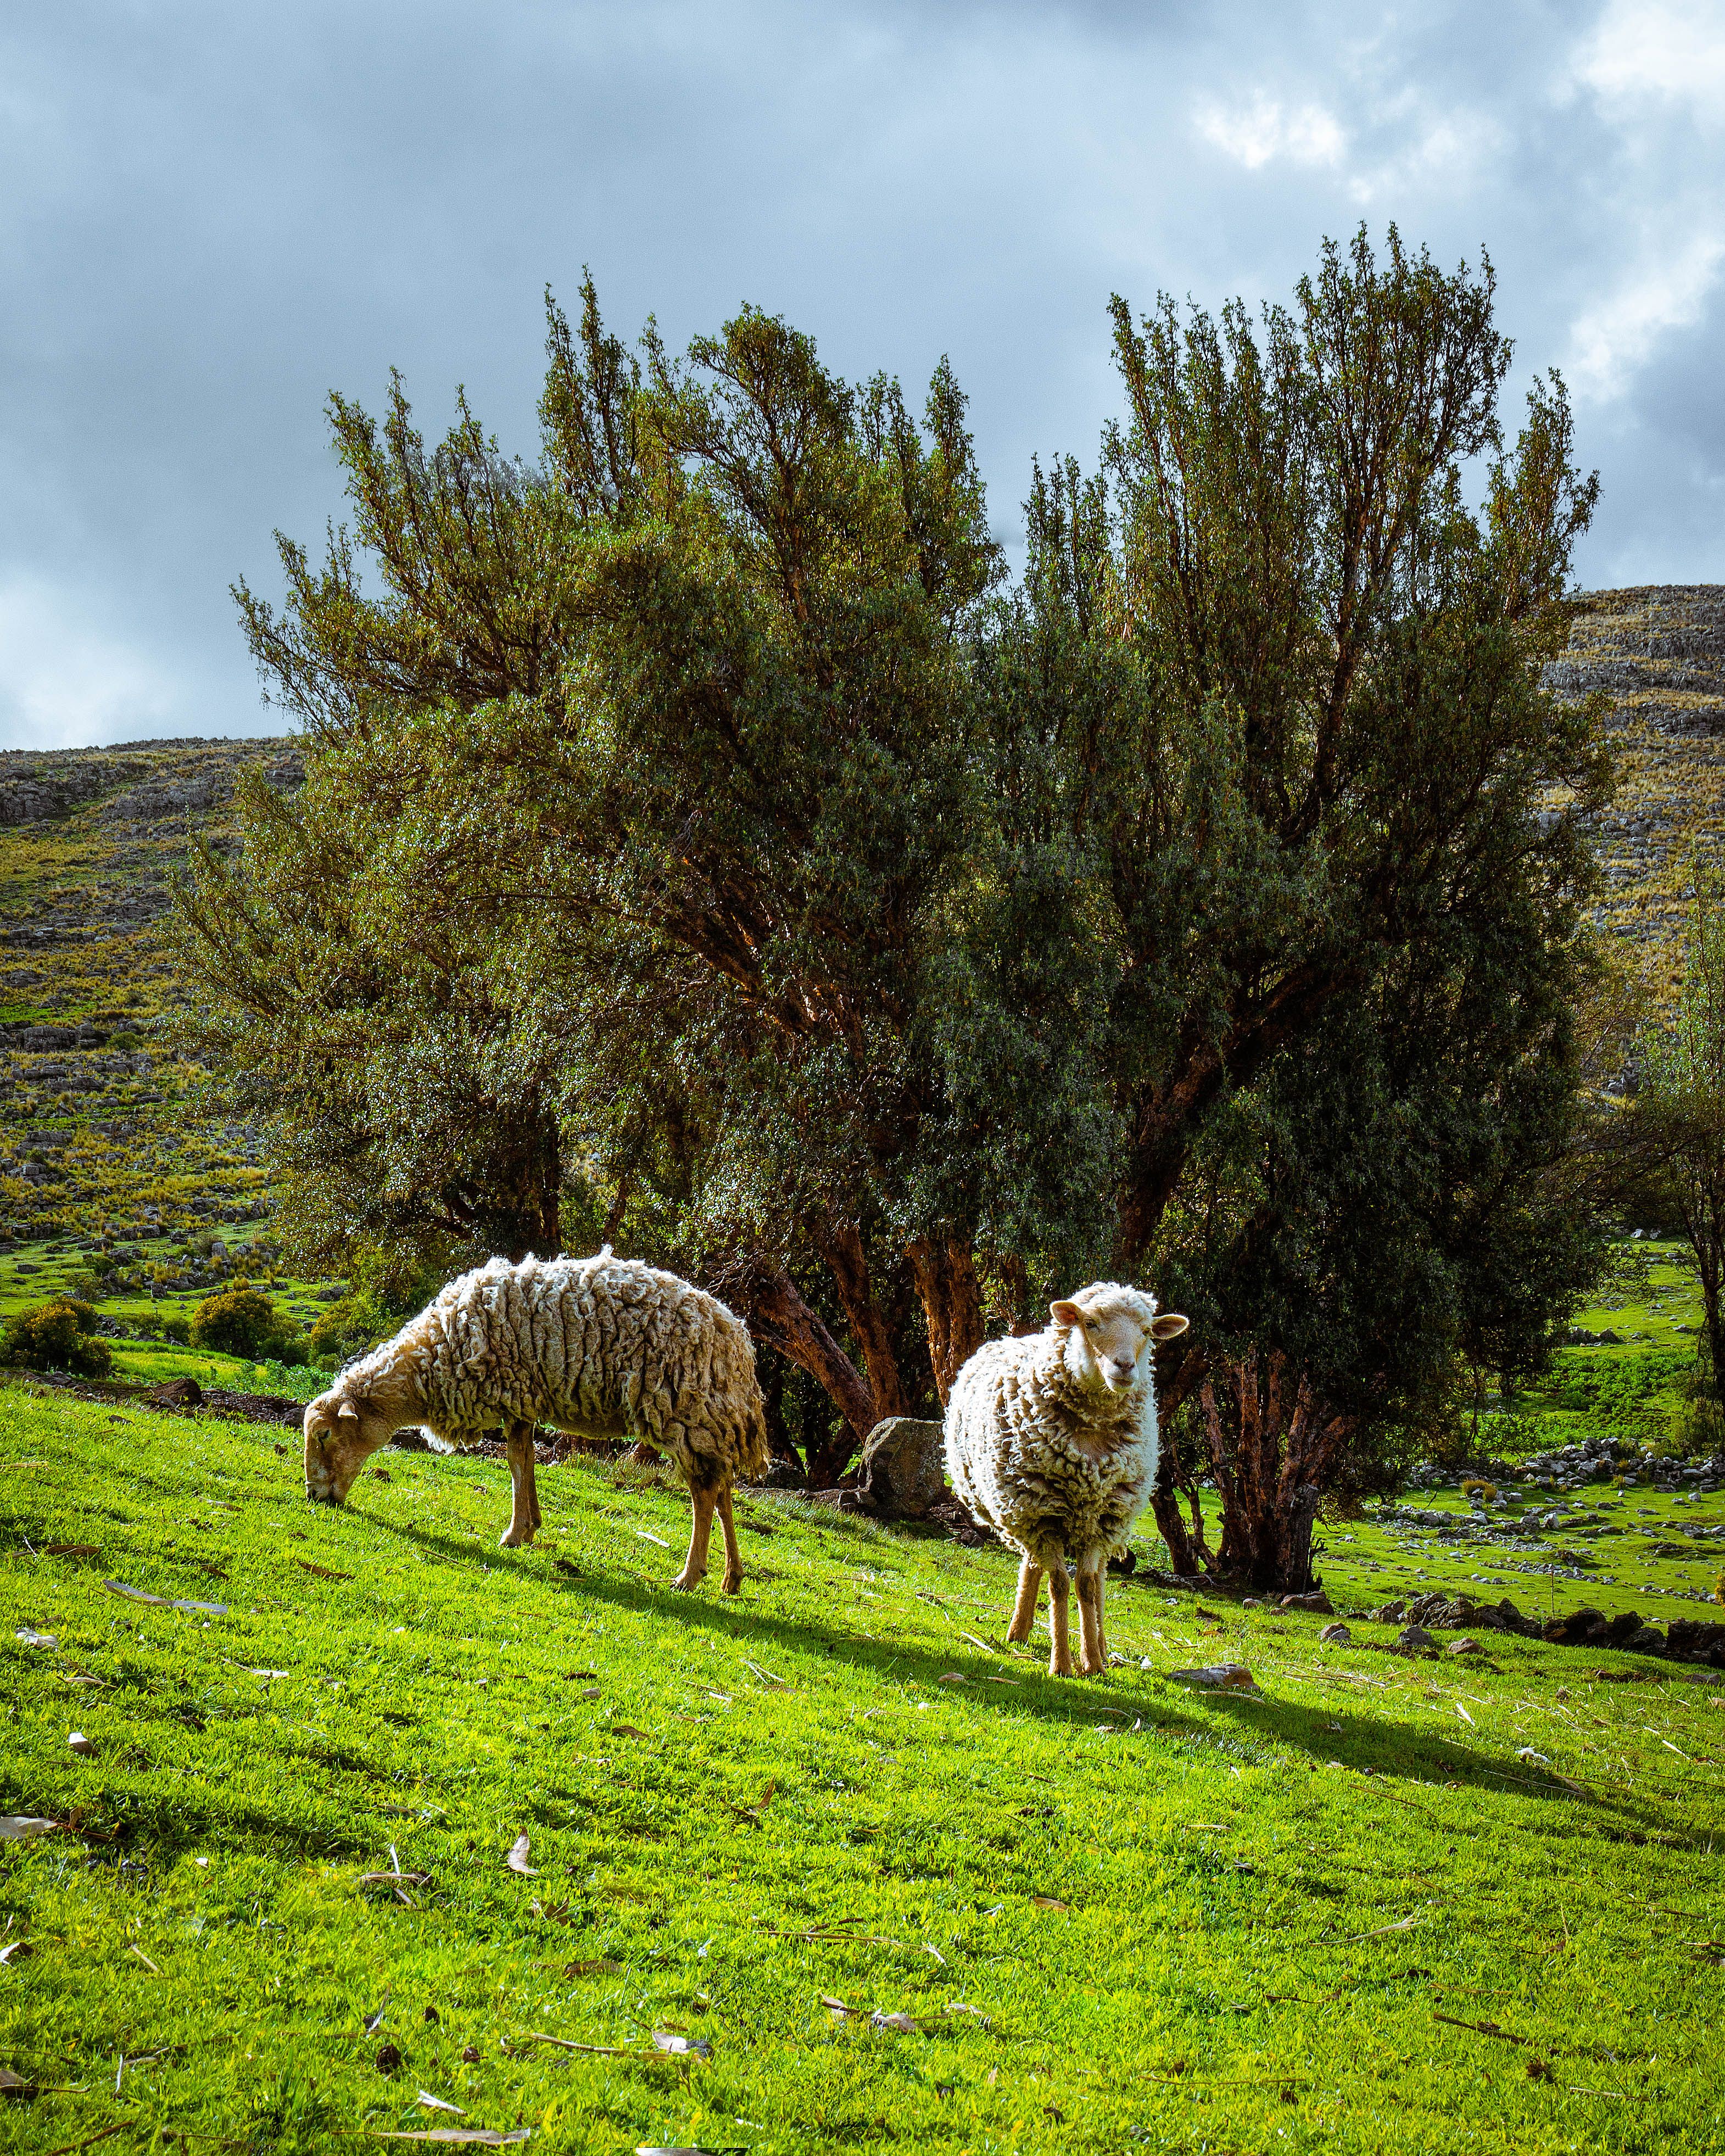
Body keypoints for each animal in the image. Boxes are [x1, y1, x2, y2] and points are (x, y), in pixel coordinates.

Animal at [301, 1248, 770, 1592]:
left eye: (324, 1434)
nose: (314, 1496)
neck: (432, 1359)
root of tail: (739, 1341)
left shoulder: (511, 1392)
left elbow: (514, 1462)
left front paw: (514, 1533)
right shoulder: (522, 1401)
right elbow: (524, 1461)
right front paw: (530, 1527)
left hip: (684, 1412)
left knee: (703, 1492)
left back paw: (690, 1576)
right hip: (711, 1421)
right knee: (723, 1488)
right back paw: (731, 1577)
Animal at [944, 1282, 1189, 1676]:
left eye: (1148, 1332)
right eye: (1089, 1323)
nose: (1125, 1367)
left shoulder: (1102, 1522)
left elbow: (1087, 1585)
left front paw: (1093, 1663)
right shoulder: (1041, 1517)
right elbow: (1059, 1584)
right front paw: (1061, 1663)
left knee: (1099, 1577)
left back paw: (1100, 1644)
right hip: (1022, 1511)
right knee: (1033, 1565)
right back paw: (1019, 1629)